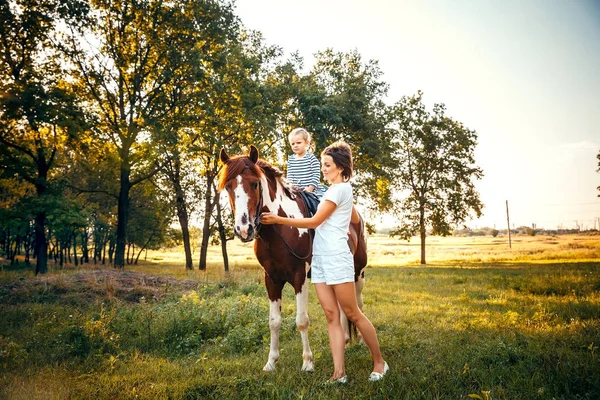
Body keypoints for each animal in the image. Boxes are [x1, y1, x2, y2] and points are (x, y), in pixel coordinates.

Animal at [218, 145, 368, 372]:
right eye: (228, 187)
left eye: (254, 184)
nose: (244, 229)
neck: (280, 229)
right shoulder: (271, 279)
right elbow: (274, 321)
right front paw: (271, 362)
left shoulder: (299, 277)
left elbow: (301, 320)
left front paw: (307, 362)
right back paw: (345, 340)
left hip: (357, 273)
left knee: (356, 305)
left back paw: (358, 341)